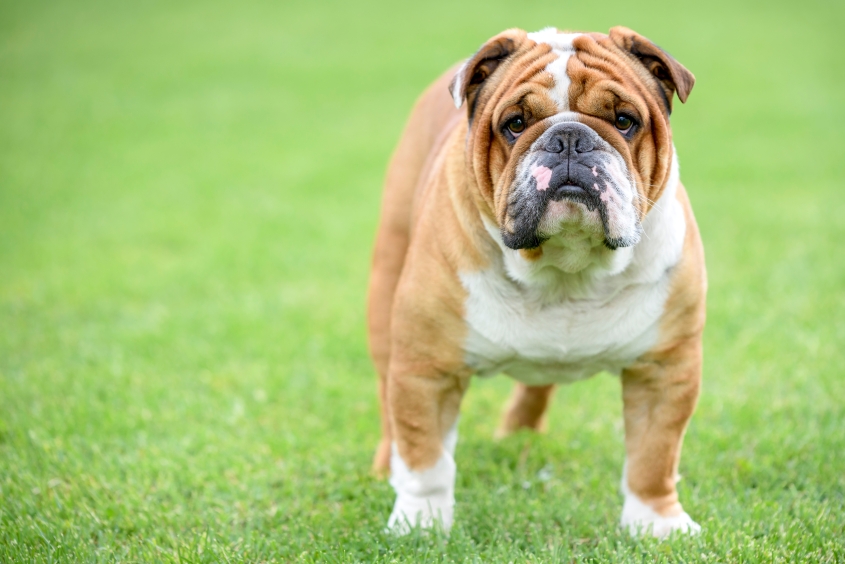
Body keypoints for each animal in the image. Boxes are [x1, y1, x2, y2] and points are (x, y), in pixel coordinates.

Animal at [366, 26, 704, 536]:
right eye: (515, 123)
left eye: (624, 121)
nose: (569, 138)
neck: (566, 269)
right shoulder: (427, 367)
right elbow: (426, 455)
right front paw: (421, 522)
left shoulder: (665, 369)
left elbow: (654, 455)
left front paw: (656, 523)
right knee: (391, 407)